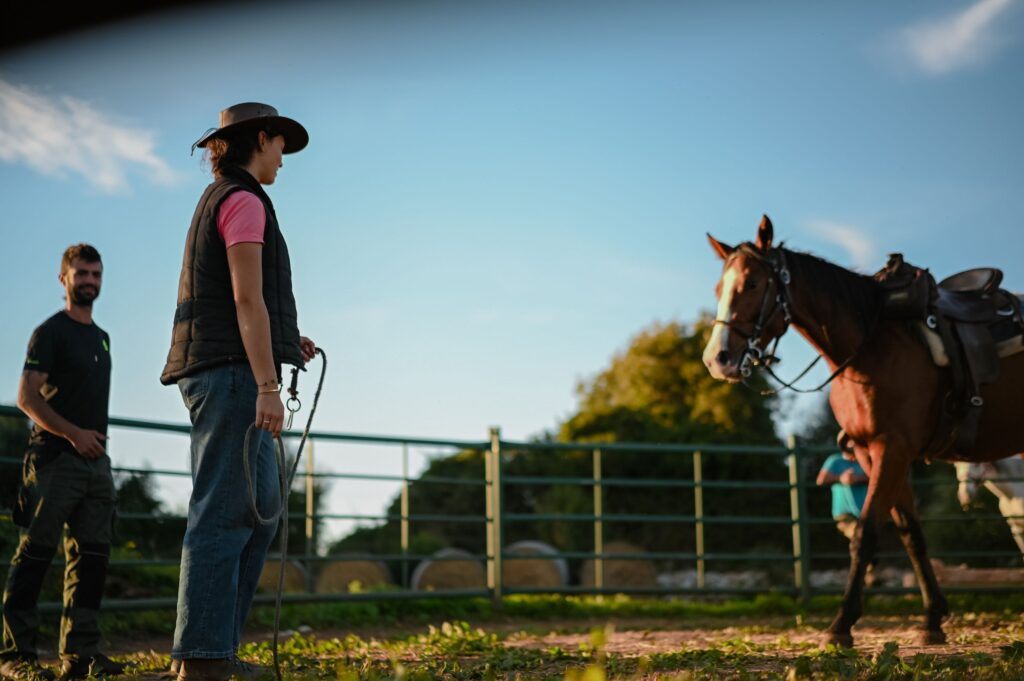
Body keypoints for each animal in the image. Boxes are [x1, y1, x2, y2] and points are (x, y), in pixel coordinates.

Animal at [701, 215, 1024, 647]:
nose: (717, 359)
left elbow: (866, 532)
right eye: (719, 289)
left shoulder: (893, 449)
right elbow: (910, 533)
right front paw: (932, 619)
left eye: (751, 284)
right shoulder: (871, 452)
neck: (870, 347)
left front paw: (841, 625)